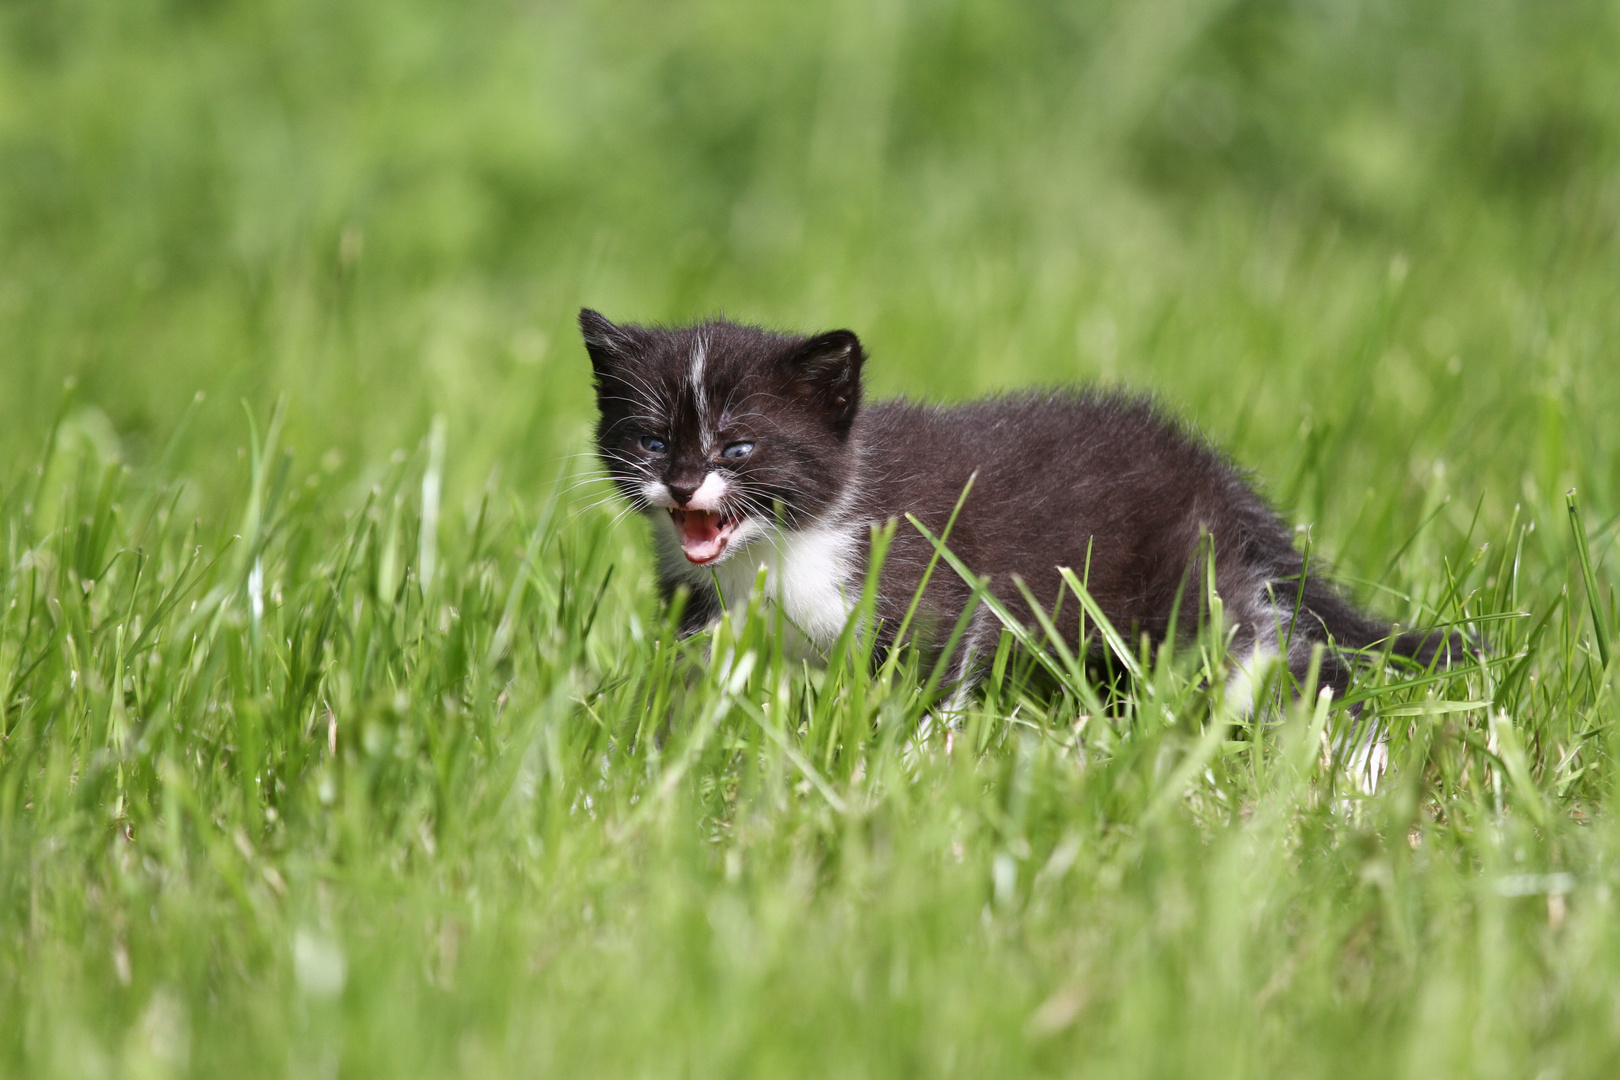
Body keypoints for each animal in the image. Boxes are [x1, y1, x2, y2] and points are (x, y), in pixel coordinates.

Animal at [579, 307, 1458, 705]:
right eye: (651, 441)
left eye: (739, 450)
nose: (683, 485)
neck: (786, 545)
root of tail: (1214, 472)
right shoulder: (702, 610)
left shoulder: (928, 573)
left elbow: (934, 666)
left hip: (1186, 583)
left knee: (1267, 648)